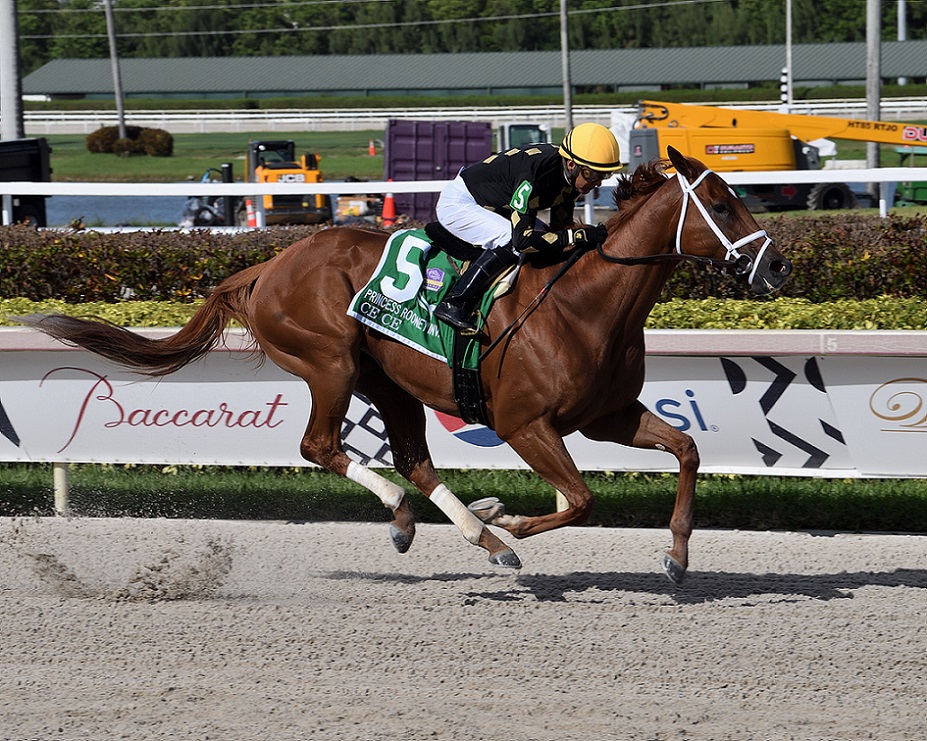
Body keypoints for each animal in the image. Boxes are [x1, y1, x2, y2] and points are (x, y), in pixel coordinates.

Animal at [21, 147, 791, 584]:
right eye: (720, 202)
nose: (778, 266)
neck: (583, 305)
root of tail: (268, 265)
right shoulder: (525, 424)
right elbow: (579, 499)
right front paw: (515, 526)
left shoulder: (607, 417)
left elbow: (687, 449)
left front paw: (677, 557)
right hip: (329, 361)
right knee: (321, 446)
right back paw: (440, 522)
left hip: (388, 382)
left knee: (415, 460)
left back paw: (467, 527)